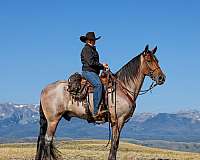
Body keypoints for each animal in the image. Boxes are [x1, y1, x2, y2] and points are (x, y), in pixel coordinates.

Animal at [34, 44, 166, 160]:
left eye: (157, 60)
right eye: (149, 60)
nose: (162, 78)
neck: (123, 88)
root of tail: (44, 89)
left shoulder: (117, 122)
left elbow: (115, 144)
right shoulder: (118, 120)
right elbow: (114, 145)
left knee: (43, 141)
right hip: (53, 120)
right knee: (47, 141)